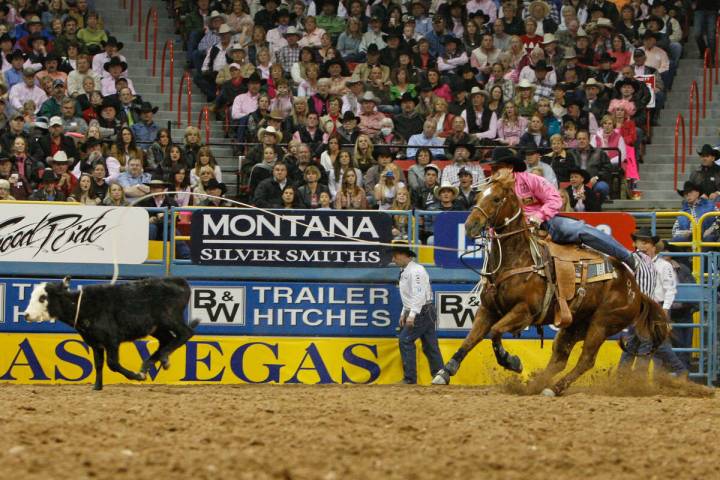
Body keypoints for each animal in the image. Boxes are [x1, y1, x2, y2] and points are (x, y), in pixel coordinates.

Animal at [428, 171, 668, 396]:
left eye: (496, 199)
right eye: (478, 196)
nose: (471, 225)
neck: (518, 258)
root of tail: (636, 291)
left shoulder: (524, 312)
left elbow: (495, 332)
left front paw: (512, 361)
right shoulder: (488, 310)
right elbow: (470, 339)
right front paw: (445, 372)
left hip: (602, 324)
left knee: (586, 360)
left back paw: (553, 388)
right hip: (575, 324)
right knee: (559, 358)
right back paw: (535, 384)